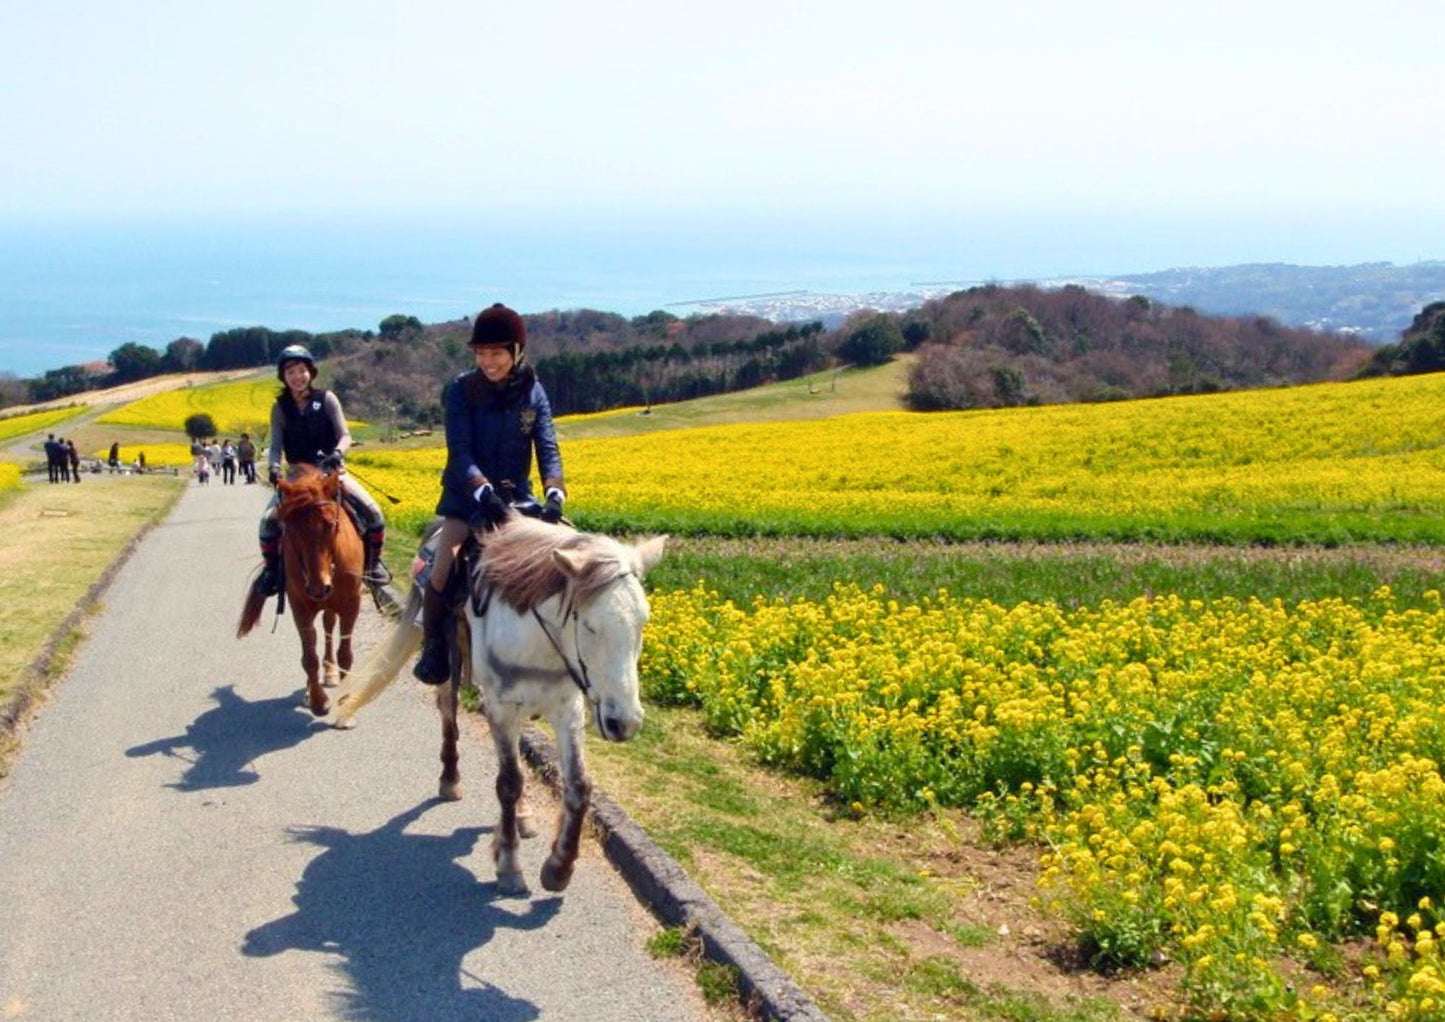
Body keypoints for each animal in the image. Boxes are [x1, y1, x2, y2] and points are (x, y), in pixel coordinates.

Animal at [236, 465, 361, 716]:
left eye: (331, 524)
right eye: (291, 529)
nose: (319, 587)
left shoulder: (352, 604)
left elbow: (345, 654)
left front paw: (345, 703)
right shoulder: (299, 607)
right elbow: (309, 657)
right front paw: (318, 702)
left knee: (329, 626)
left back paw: (330, 673)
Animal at [332, 520, 664, 896]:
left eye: (643, 622)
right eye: (591, 626)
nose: (625, 722)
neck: (537, 637)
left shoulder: (567, 708)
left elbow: (579, 784)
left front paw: (559, 868)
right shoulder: (502, 707)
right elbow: (508, 781)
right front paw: (509, 866)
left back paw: (523, 816)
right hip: (451, 667)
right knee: (449, 716)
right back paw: (450, 779)